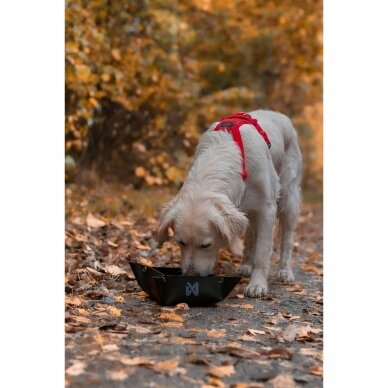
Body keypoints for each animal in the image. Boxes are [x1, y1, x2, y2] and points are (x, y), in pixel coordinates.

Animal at [158, 109, 304, 298]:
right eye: (181, 243)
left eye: (206, 245)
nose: (190, 276)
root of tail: (279, 115)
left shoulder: (267, 208)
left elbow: (262, 252)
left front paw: (257, 285)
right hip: (247, 211)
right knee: (250, 237)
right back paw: (246, 265)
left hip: (288, 197)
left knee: (287, 238)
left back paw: (285, 271)